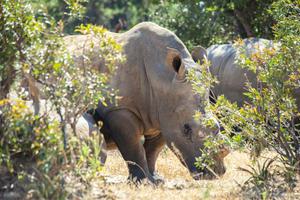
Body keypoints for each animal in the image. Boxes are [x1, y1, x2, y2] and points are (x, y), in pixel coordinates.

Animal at [66, 21, 230, 183]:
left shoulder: (163, 112)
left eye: (217, 126)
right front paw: (142, 181)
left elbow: (153, 149)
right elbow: (133, 147)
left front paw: (156, 179)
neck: (162, 78)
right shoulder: (119, 109)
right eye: (186, 129)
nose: (215, 173)